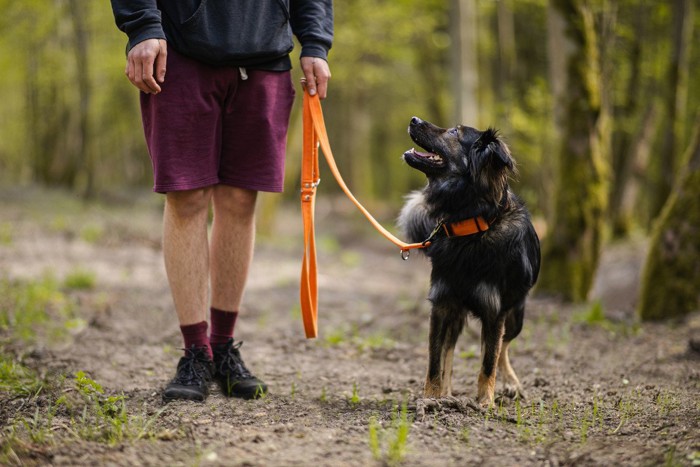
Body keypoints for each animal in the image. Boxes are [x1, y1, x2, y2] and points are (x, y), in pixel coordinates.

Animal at [400, 116, 540, 406]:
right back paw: (446, 393)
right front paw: (431, 399)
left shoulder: (495, 311)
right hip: (456, 312)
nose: (413, 119)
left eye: (455, 132)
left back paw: (511, 383)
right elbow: (435, 361)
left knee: (502, 348)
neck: (469, 227)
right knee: (450, 352)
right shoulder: (442, 304)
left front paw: (485, 403)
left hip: (516, 315)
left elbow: (489, 361)